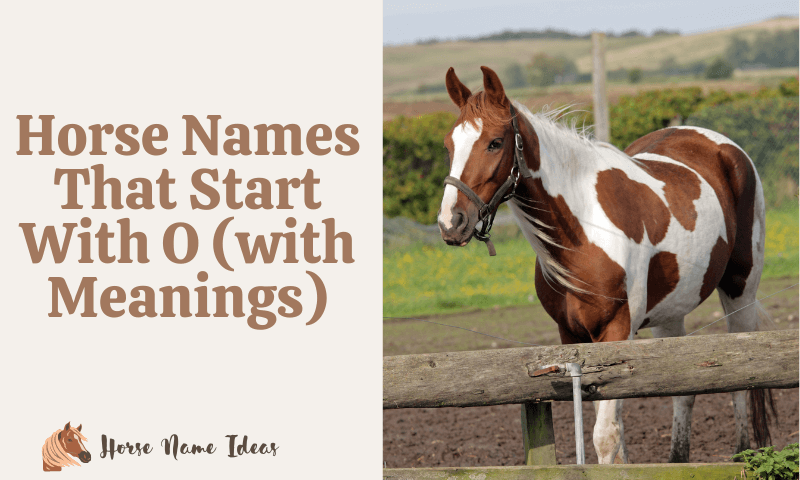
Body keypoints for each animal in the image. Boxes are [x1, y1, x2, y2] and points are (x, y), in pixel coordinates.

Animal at [437, 66, 774, 464]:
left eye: (494, 142)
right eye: (449, 145)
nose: (451, 222)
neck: (584, 231)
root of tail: (721, 145)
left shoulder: (617, 330)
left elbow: (606, 437)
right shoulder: (573, 337)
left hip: (740, 290)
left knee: (742, 384)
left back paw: (743, 454)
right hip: (670, 312)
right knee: (683, 391)